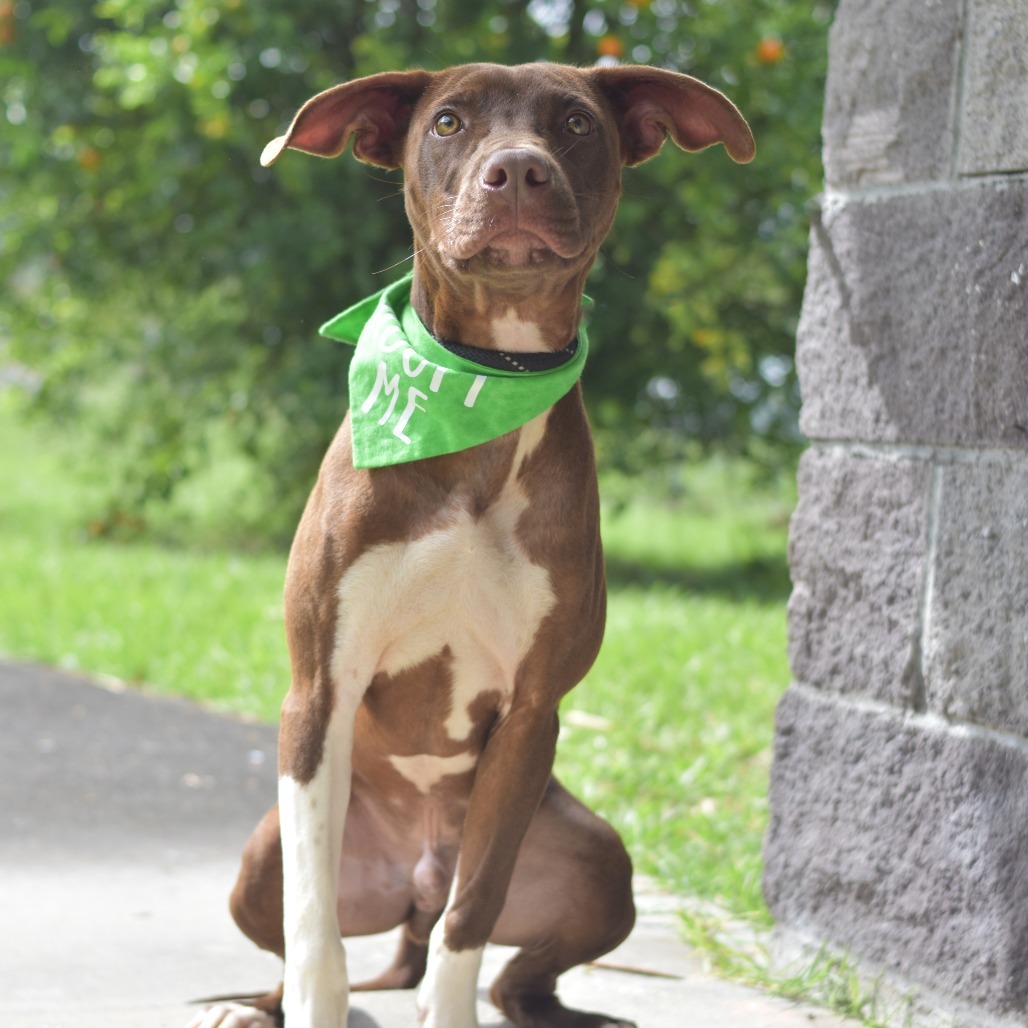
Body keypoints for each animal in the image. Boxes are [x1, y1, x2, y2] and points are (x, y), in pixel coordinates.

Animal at [191, 62, 756, 1028]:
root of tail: (412, 885)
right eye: (449, 122)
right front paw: (312, 1005)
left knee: (506, 967)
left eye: (576, 123)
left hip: (598, 858)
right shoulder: (320, 691)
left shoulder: (531, 716)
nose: (518, 171)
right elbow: (313, 926)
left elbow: (476, 912)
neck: (480, 390)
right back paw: (259, 1006)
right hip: (255, 864)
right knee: (296, 930)